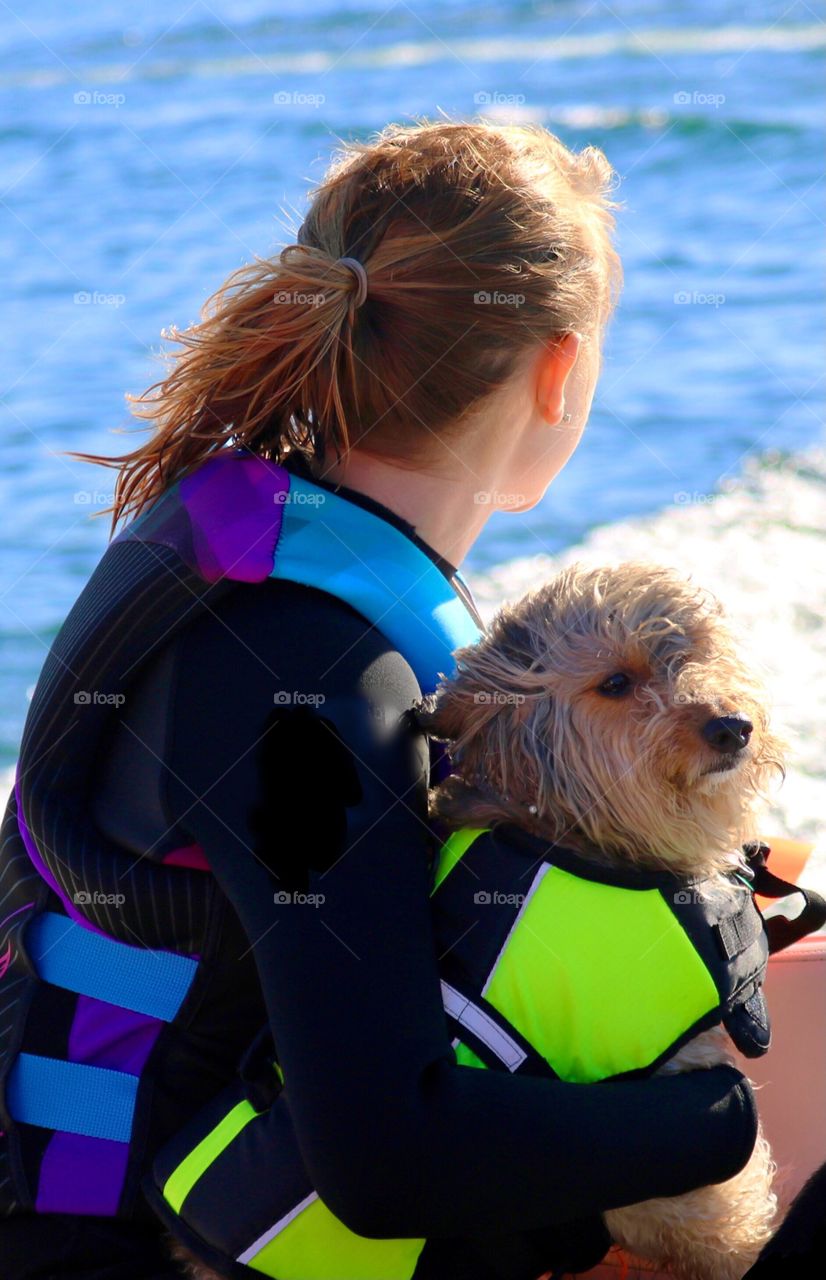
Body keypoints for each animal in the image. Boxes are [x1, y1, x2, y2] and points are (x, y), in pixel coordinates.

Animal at [414, 565, 783, 1280]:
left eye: (697, 649)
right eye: (614, 683)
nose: (733, 726)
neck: (571, 833)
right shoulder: (679, 1157)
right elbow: (731, 1228)